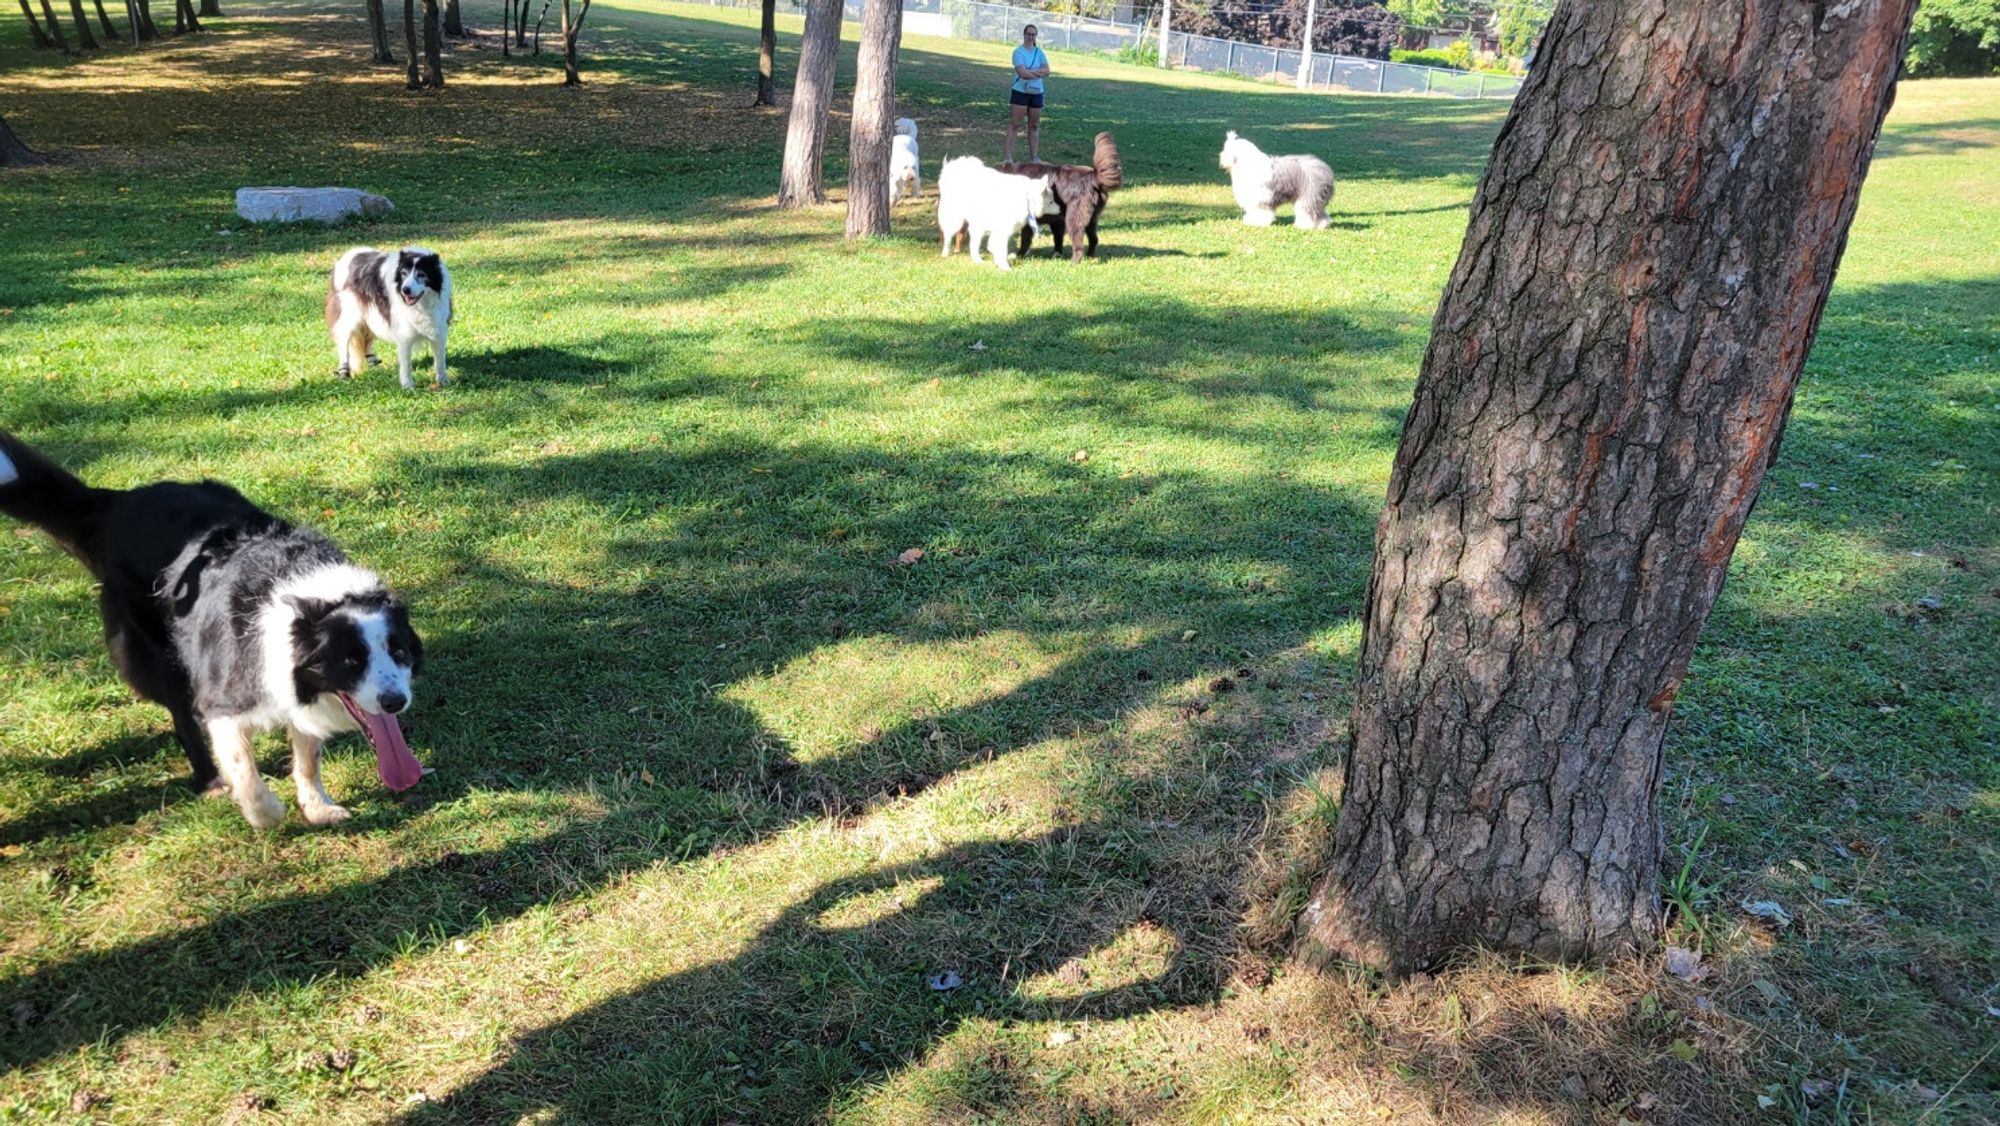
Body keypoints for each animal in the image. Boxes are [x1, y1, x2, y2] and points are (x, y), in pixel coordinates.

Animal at [328, 245, 454, 390]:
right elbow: (406, 364)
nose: (405, 290)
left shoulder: (439, 329)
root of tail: (345, 256)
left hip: (372, 315)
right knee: (344, 341)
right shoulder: (405, 334)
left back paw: (373, 363)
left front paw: (443, 382)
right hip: (350, 316)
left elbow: (440, 361)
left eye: (421, 275)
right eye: (403, 274)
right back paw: (344, 372)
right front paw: (408, 387)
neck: (422, 304)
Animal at [1000, 132, 1128, 264]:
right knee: (1094, 239)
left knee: (1078, 243)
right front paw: (1057, 254)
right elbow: (1058, 237)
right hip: (1091, 219)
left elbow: (1025, 239)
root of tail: (1093, 177)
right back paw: (1090, 257)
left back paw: (1074, 262)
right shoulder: (1056, 220)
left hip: (1073, 218)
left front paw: (1019, 255)